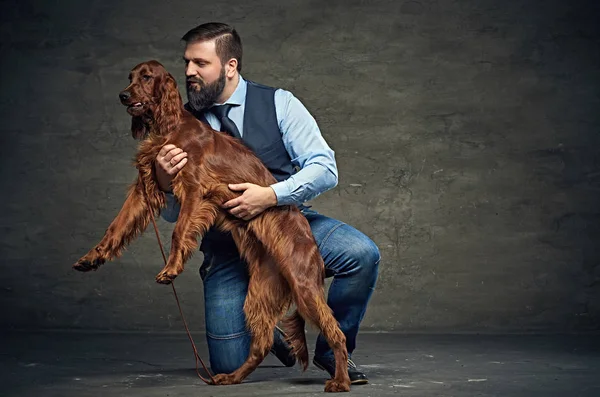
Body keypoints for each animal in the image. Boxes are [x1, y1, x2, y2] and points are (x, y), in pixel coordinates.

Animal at [72, 60, 350, 392]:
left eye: (147, 77)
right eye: (130, 77)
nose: (123, 95)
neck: (169, 127)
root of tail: (308, 241)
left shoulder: (195, 189)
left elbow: (179, 231)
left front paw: (171, 269)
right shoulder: (145, 188)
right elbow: (116, 226)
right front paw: (92, 257)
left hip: (304, 286)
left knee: (336, 332)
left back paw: (341, 380)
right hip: (260, 293)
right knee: (261, 342)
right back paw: (232, 377)